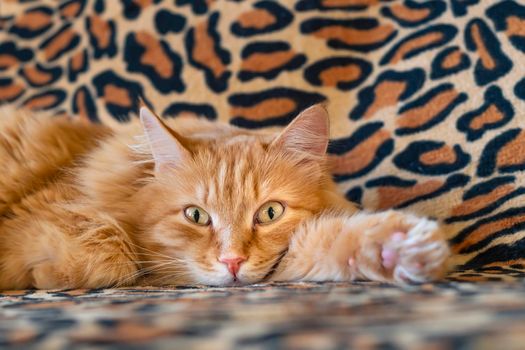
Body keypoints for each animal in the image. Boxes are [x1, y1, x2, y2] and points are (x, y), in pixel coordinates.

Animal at [0, 106, 450, 290]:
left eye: (270, 213)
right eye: (196, 216)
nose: (232, 261)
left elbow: (329, 243)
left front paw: (399, 249)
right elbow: (109, 246)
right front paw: (48, 274)